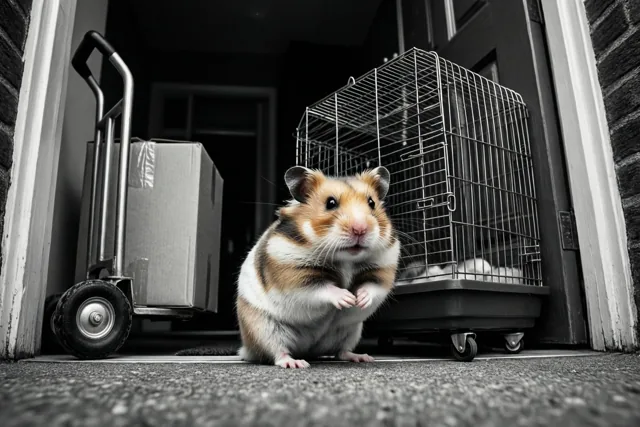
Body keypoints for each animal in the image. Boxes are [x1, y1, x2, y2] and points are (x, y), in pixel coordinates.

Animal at [236, 165, 401, 368]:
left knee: (341, 352)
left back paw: (362, 357)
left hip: (350, 332)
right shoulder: (293, 276)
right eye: (330, 203)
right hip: (264, 327)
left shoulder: (383, 269)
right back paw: (295, 363)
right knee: (277, 352)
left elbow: (372, 287)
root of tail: (308, 349)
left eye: (371, 203)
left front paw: (359, 300)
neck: (346, 259)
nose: (360, 229)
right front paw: (347, 298)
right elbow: (322, 289)